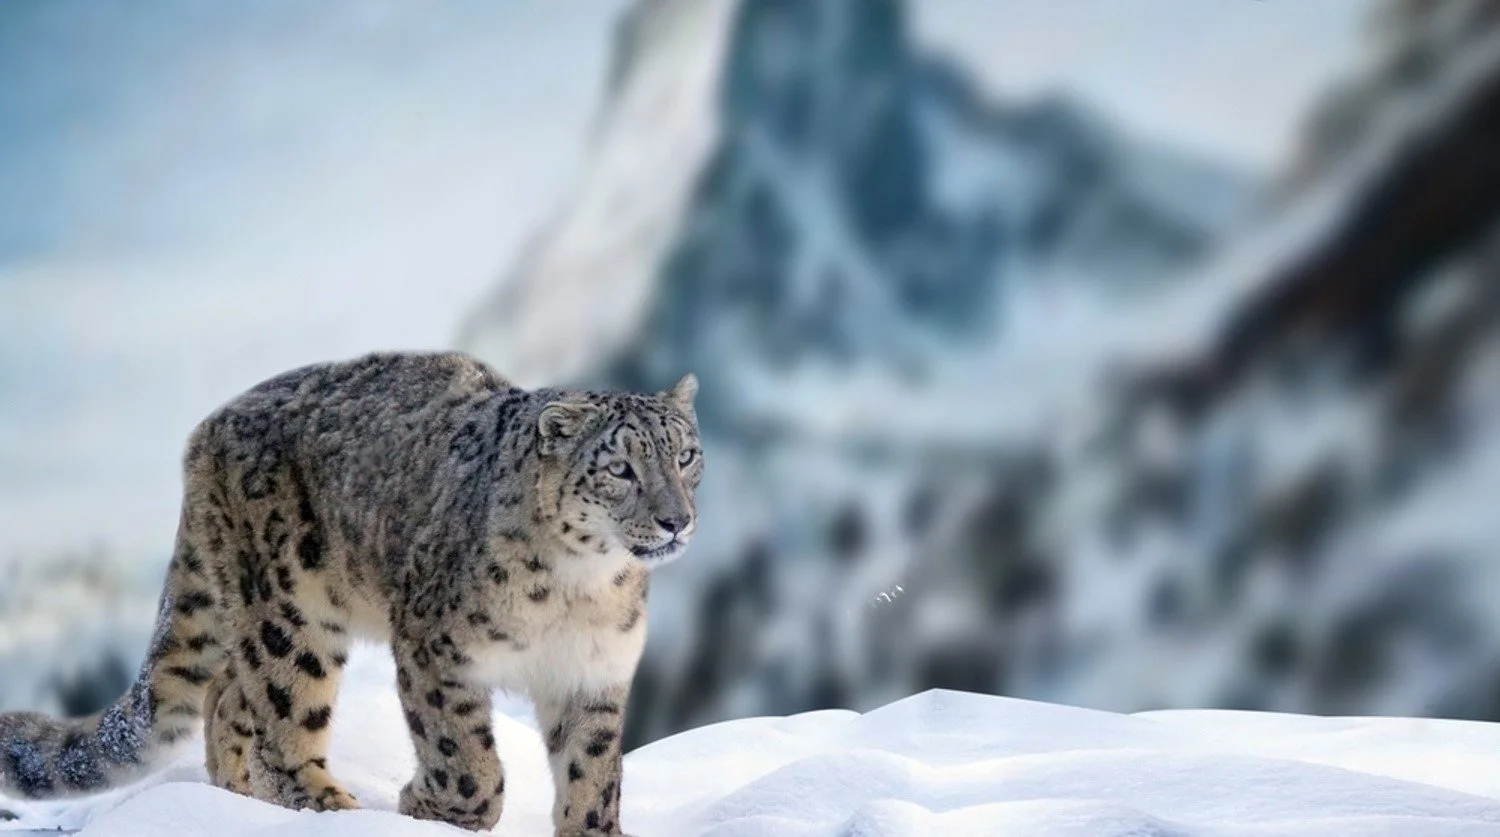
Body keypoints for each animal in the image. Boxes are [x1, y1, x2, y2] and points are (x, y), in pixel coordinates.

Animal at [0, 351, 703, 836]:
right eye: (620, 468)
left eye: (686, 455)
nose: (677, 520)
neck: (580, 589)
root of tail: (206, 432)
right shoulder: (435, 650)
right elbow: (465, 755)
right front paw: (430, 806)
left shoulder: (593, 673)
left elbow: (593, 772)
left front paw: (592, 826)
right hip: (292, 615)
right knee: (281, 719)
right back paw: (331, 809)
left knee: (227, 694)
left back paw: (234, 799)